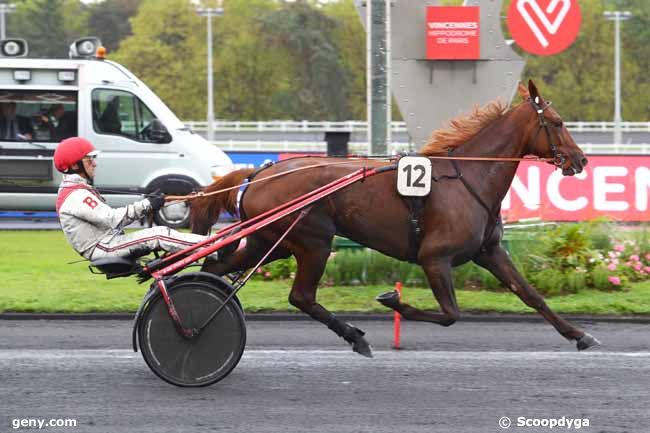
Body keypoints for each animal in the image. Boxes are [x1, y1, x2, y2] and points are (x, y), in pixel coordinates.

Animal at [189, 80, 596, 354]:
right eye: (557, 122)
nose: (581, 160)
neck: (468, 176)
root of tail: (260, 173)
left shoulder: (490, 252)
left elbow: (531, 295)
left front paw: (579, 334)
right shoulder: (435, 257)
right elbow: (450, 313)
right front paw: (392, 300)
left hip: (272, 242)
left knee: (214, 269)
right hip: (312, 241)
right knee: (301, 296)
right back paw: (353, 336)